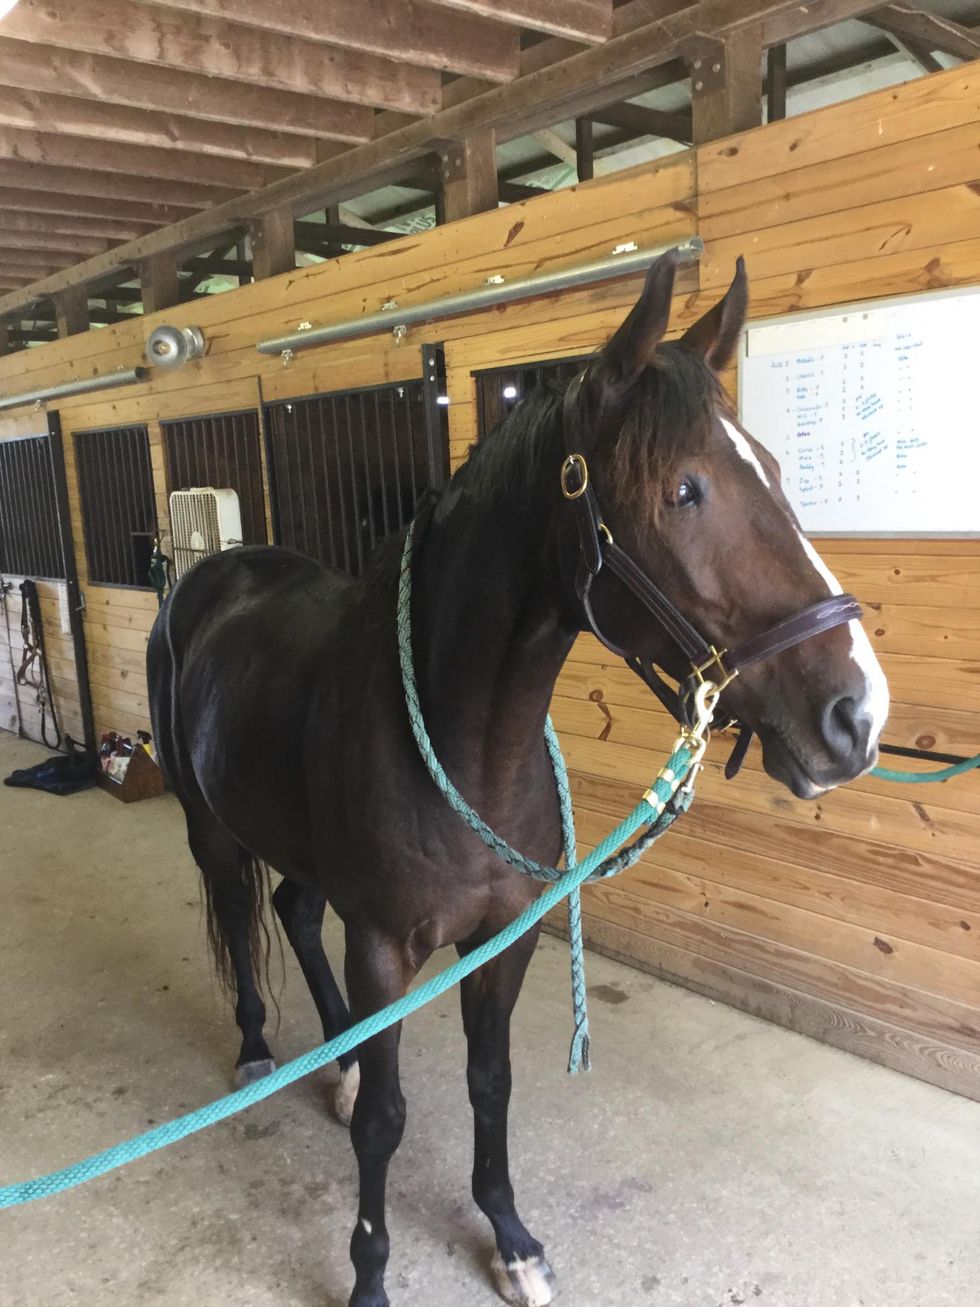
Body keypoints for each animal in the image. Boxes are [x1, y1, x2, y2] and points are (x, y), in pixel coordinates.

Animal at [147, 251, 888, 1307]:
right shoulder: (383, 945)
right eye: (685, 490)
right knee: (243, 918)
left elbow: (488, 1084)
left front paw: (511, 1237)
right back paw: (257, 1051)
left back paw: (334, 1061)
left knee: (291, 910)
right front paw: (369, 1276)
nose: (857, 716)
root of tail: (212, 574)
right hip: (211, 828)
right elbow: (387, 1118)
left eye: (777, 472)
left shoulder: (506, 935)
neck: (468, 747)